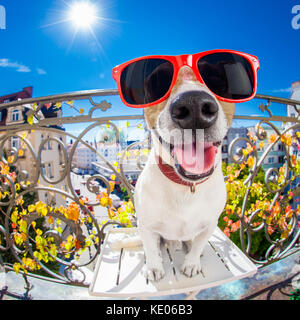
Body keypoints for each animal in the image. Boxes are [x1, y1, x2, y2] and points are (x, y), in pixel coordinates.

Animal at [112, 50, 258, 280]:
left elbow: (198, 245)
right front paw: (154, 267)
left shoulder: (210, 225)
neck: (186, 185)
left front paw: (191, 263)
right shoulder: (146, 225)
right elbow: (151, 248)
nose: (194, 106)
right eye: (157, 82)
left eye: (218, 79)